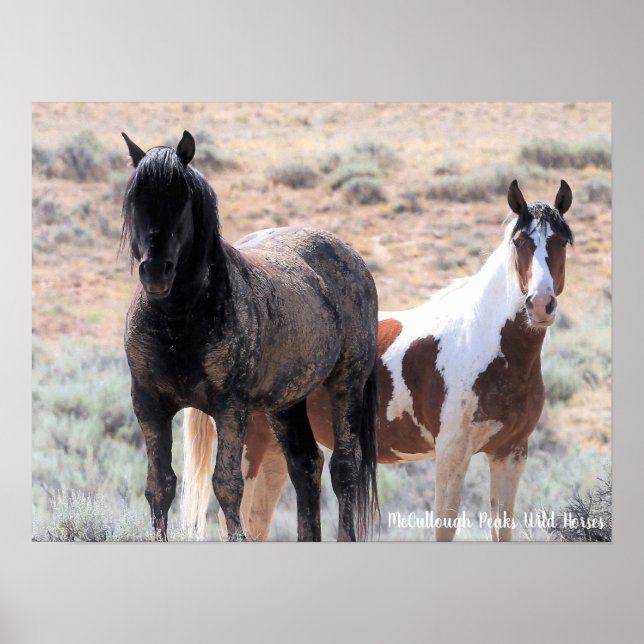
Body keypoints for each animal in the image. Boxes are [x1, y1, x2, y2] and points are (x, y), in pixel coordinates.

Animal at [120, 130, 379, 541]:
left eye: (182, 199)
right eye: (135, 199)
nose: (156, 271)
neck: (179, 322)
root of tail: (352, 258)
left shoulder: (229, 408)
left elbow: (227, 485)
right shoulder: (149, 405)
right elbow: (160, 486)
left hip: (346, 385)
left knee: (344, 469)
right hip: (286, 404)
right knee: (306, 465)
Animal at [183, 179, 573, 541]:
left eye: (562, 242)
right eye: (519, 242)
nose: (540, 304)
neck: (486, 343)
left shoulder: (510, 454)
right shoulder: (452, 454)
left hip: (276, 451)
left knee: (259, 520)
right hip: (251, 445)